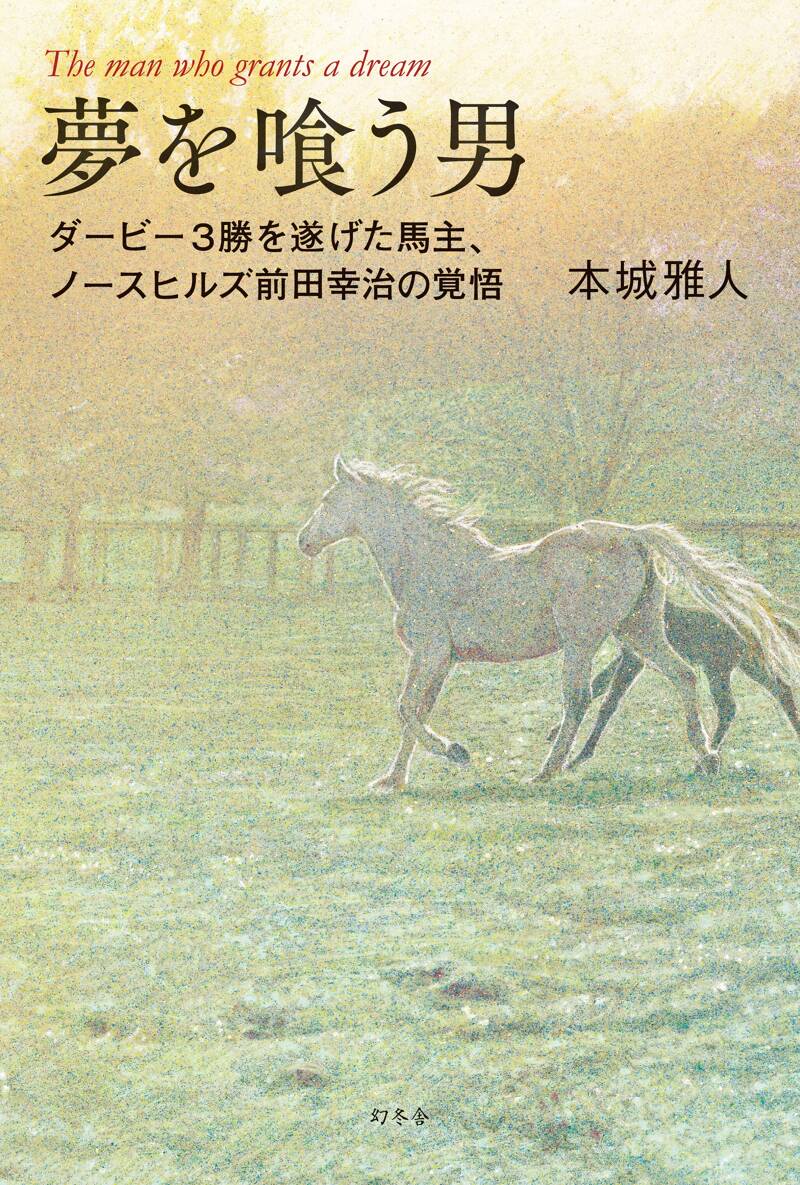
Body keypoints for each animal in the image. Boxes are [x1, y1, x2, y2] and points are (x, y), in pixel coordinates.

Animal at [549, 599, 800, 766]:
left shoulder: (634, 659)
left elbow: (608, 703)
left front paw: (579, 756)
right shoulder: (627, 655)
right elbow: (598, 684)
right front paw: (556, 732)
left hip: (718, 669)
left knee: (729, 706)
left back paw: (707, 756)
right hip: (749, 663)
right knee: (781, 688)